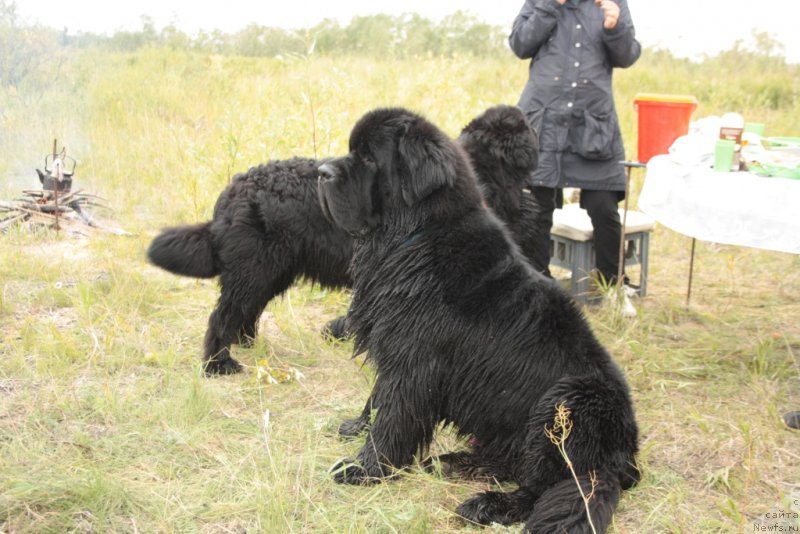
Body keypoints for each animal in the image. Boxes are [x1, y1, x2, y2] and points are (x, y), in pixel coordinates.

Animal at [147, 105, 540, 376]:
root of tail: (234, 188)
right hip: (256, 267)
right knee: (223, 314)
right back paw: (218, 364)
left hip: (271, 270)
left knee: (245, 310)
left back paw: (247, 345)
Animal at [318, 107, 636, 532]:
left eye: (369, 159)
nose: (321, 171)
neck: (413, 238)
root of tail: (624, 460)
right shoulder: (394, 345)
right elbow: (377, 398)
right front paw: (357, 427)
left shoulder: (415, 363)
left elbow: (393, 416)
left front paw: (366, 469)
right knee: (509, 463)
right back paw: (454, 462)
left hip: (568, 404)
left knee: (542, 486)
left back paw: (488, 504)